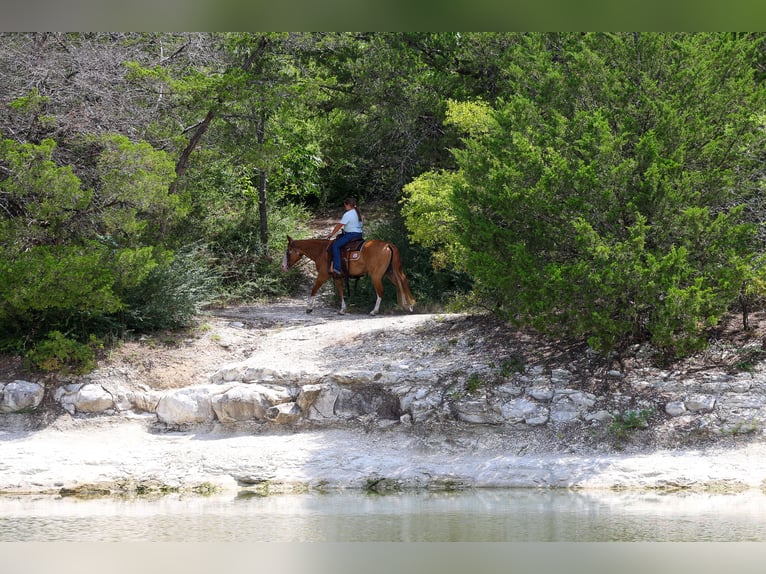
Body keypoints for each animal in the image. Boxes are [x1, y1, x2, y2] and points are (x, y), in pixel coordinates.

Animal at [281, 236, 416, 315]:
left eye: (287, 251)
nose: (283, 267)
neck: (321, 251)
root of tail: (387, 245)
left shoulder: (323, 275)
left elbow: (314, 289)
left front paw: (309, 308)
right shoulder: (337, 277)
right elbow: (341, 292)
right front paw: (342, 309)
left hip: (376, 275)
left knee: (381, 291)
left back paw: (374, 310)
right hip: (391, 272)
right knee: (402, 283)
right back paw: (409, 306)